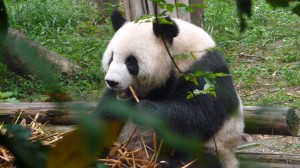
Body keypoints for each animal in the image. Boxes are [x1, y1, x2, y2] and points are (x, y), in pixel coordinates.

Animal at [96, 10, 244, 168]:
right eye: (111, 58)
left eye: (131, 61)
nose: (111, 82)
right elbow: (105, 117)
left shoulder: (204, 71)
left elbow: (200, 114)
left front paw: (145, 110)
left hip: (217, 149)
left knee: (198, 159)